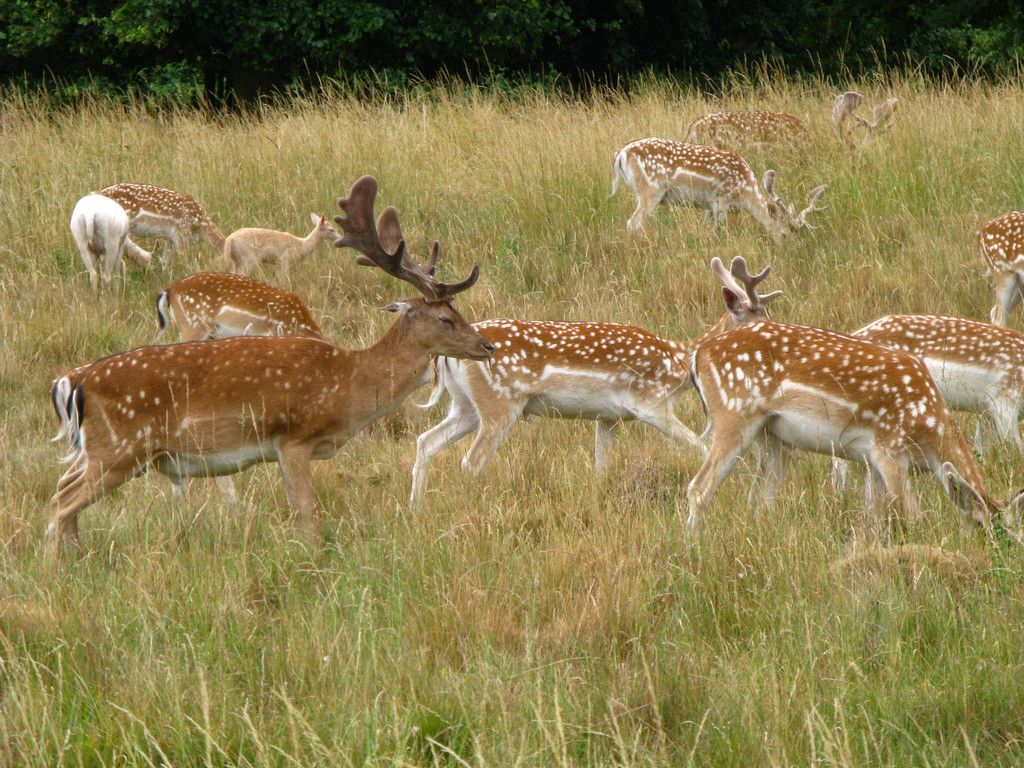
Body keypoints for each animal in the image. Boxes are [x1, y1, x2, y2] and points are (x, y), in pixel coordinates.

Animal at [411, 257, 778, 512]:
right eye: (759, 317)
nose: (777, 335)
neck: (677, 363)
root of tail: (446, 357)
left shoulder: (607, 418)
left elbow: (603, 468)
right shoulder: (651, 404)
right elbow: (700, 446)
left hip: (465, 406)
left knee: (426, 441)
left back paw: (415, 510)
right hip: (499, 404)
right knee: (471, 462)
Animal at [606, 135, 823, 237]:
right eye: (784, 234)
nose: (790, 249)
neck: (745, 191)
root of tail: (622, 154)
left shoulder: (709, 206)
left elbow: (706, 229)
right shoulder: (721, 199)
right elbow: (721, 231)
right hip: (650, 191)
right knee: (632, 224)